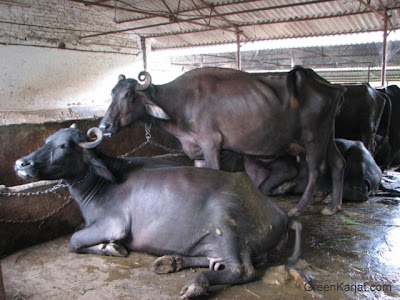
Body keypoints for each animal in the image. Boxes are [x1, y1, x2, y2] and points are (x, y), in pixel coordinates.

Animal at [14, 124, 304, 298]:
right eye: (47, 140)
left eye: (64, 146)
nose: (20, 163)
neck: (101, 184)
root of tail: (280, 214)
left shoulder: (113, 224)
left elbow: (73, 241)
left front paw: (111, 248)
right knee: (215, 260)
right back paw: (170, 262)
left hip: (226, 224)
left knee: (241, 269)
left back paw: (196, 284)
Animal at [98, 65, 346, 216]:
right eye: (111, 93)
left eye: (129, 95)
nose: (104, 126)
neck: (181, 103)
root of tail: (329, 85)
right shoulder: (196, 150)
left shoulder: (211, 143)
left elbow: (214, 172)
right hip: (328, 137)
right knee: (338, 163)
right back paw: (333, 206)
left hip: (314, 138)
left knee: (315, 170)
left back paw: (300, 207)